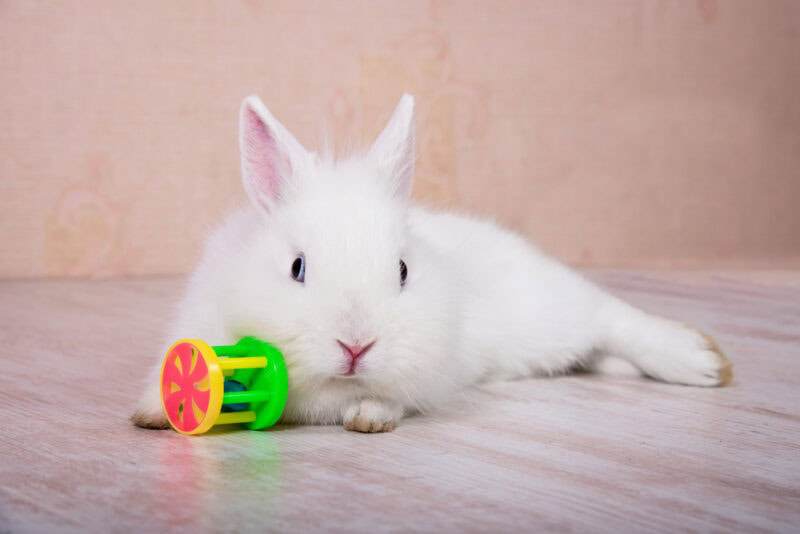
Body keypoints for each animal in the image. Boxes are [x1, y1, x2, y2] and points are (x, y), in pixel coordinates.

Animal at [131, 93, 732, 433]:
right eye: (298, 267)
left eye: (402, 271)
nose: (356, 346)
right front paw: (153, 413)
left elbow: (389, 402)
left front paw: (369, 420)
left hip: (551, 316)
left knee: (610, 316)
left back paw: (703, 361)